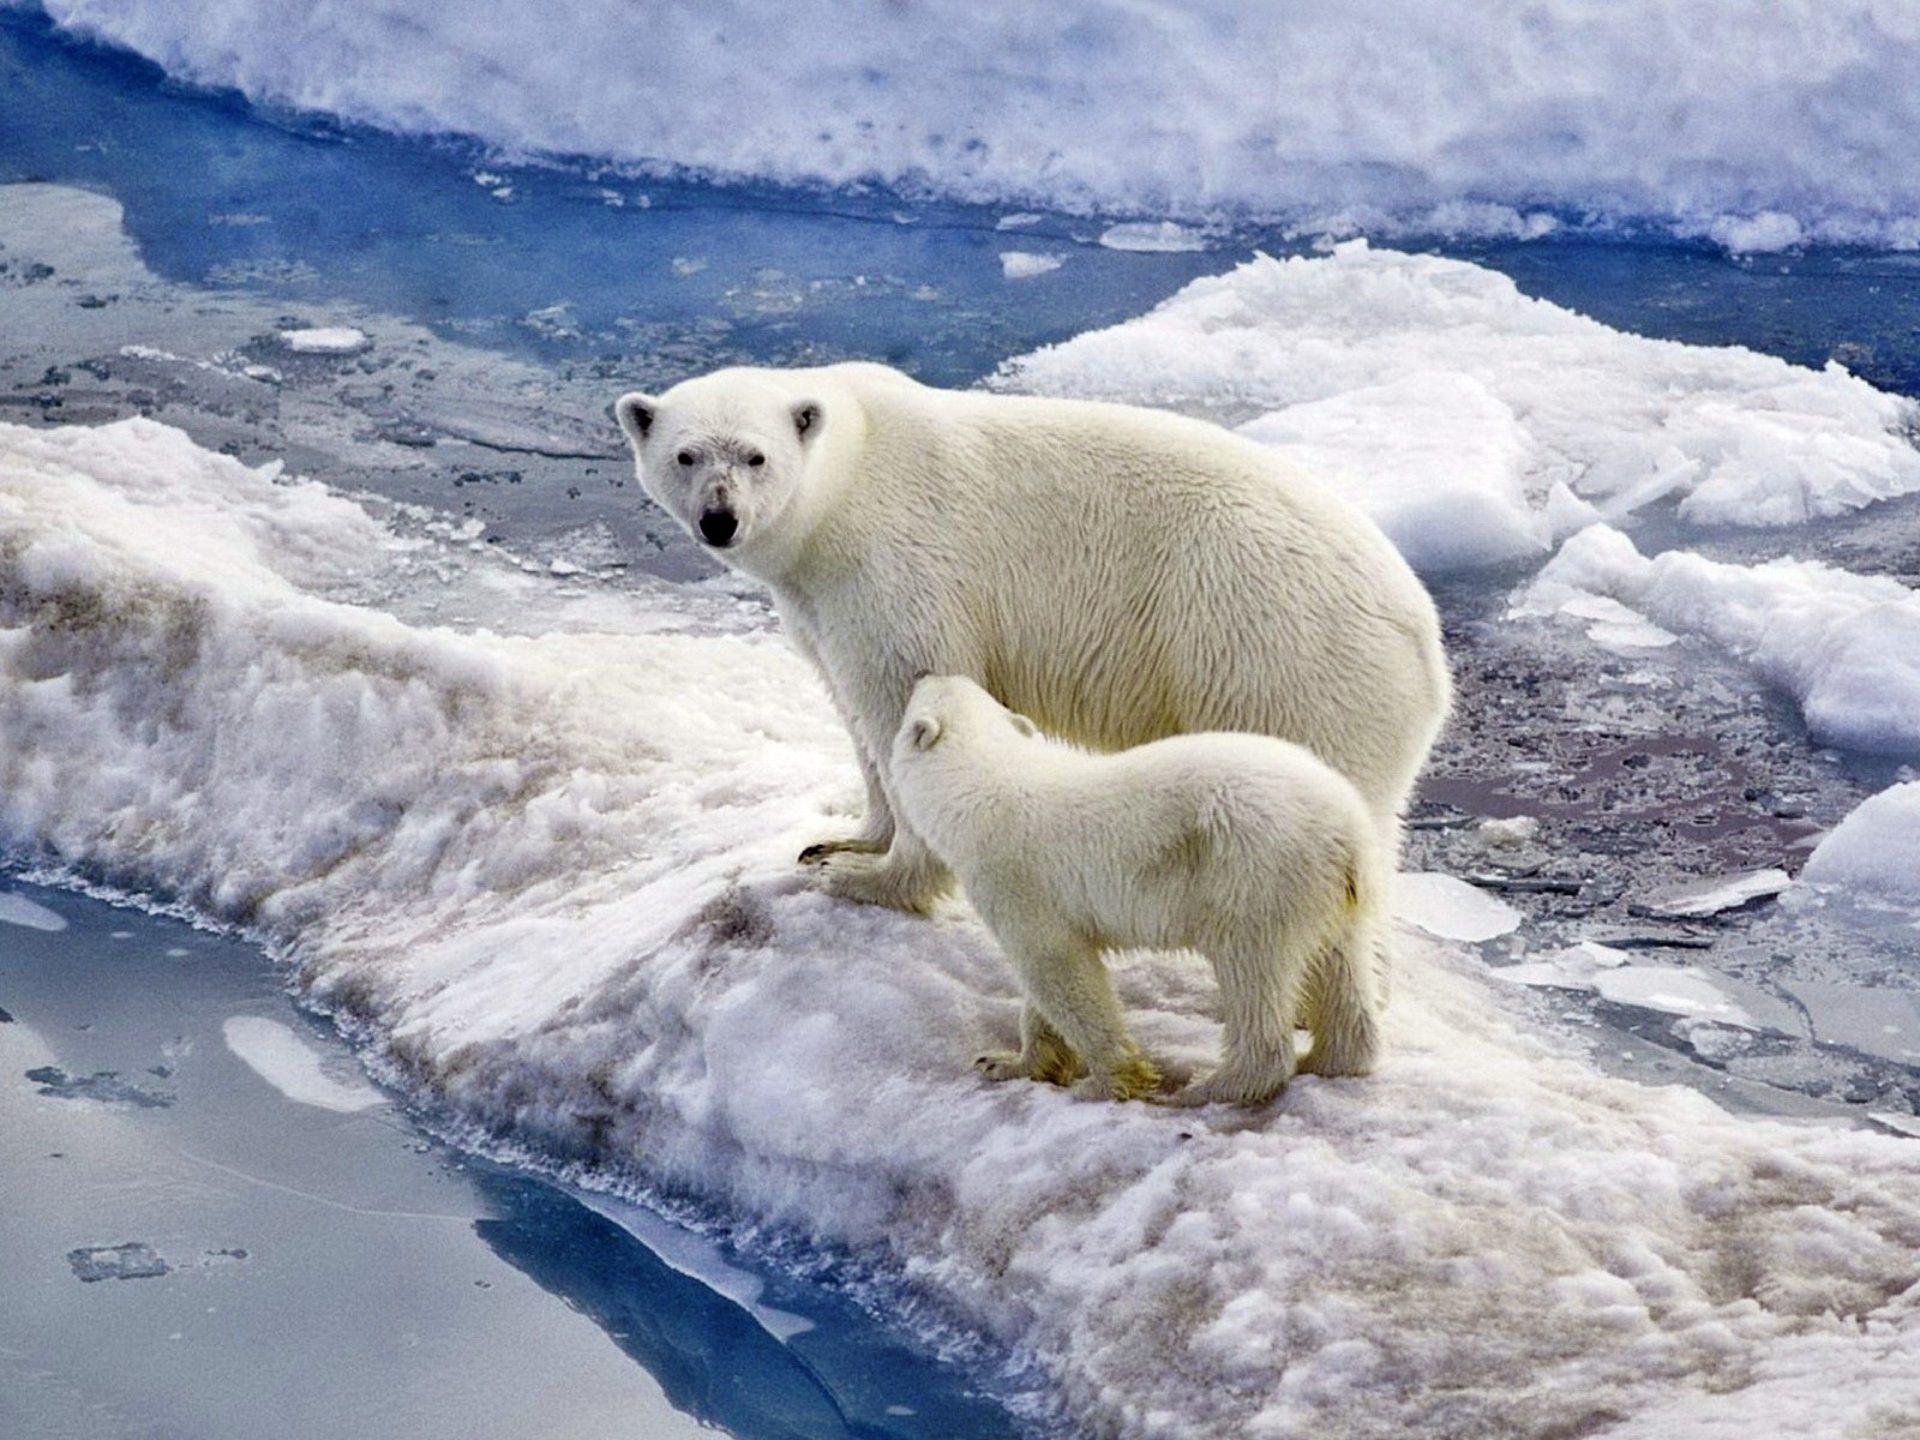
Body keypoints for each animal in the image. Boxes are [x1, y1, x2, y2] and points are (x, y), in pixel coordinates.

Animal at [612, 362, 1450, 929]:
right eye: (686, 455)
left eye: (755, 456)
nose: (719, 519)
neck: (847, 481)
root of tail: (1427, 646)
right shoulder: (817, 598)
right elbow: (850, 705)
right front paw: (841, 843)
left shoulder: (898, 565)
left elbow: (904, 693)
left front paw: (874, 880)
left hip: (1276, 655)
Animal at [890, 675, 1385, 1106]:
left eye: (920, 696)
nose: (925, 672)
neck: (985, 785)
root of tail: (1347, 829)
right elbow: (1046, 988)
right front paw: (1006, 1062)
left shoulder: (1016, 878)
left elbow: (1059, 970)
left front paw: (1107, 1081)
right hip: (1327, 892)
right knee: (1339, 965)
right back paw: (1328, 1057)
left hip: (1254, 873)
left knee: (1252, 971)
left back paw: (1210, 1086)